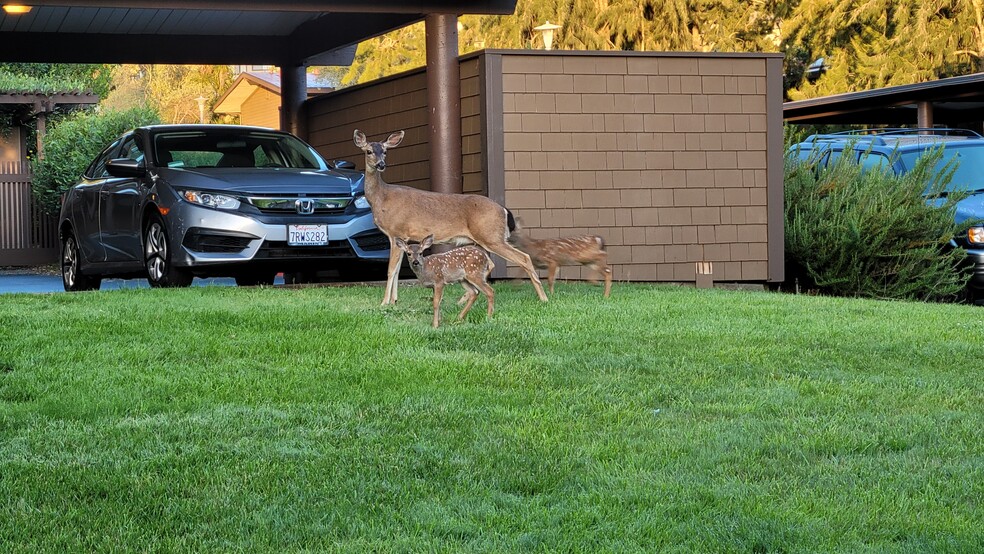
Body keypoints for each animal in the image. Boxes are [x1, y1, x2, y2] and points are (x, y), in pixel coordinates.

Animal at [352, 128, 548, 304]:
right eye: (369, 151)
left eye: (385, 151)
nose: (381, 164)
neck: (382, 198)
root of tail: (503, 209)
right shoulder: (400, 237)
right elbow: (398, 269)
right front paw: (394, 301)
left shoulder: (396, 231)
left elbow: (391, 270)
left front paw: (384, 302)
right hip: (481, 240)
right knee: (492, 264)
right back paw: (465, 297)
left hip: (491, 236)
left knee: (524, 258)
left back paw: (543, 297)